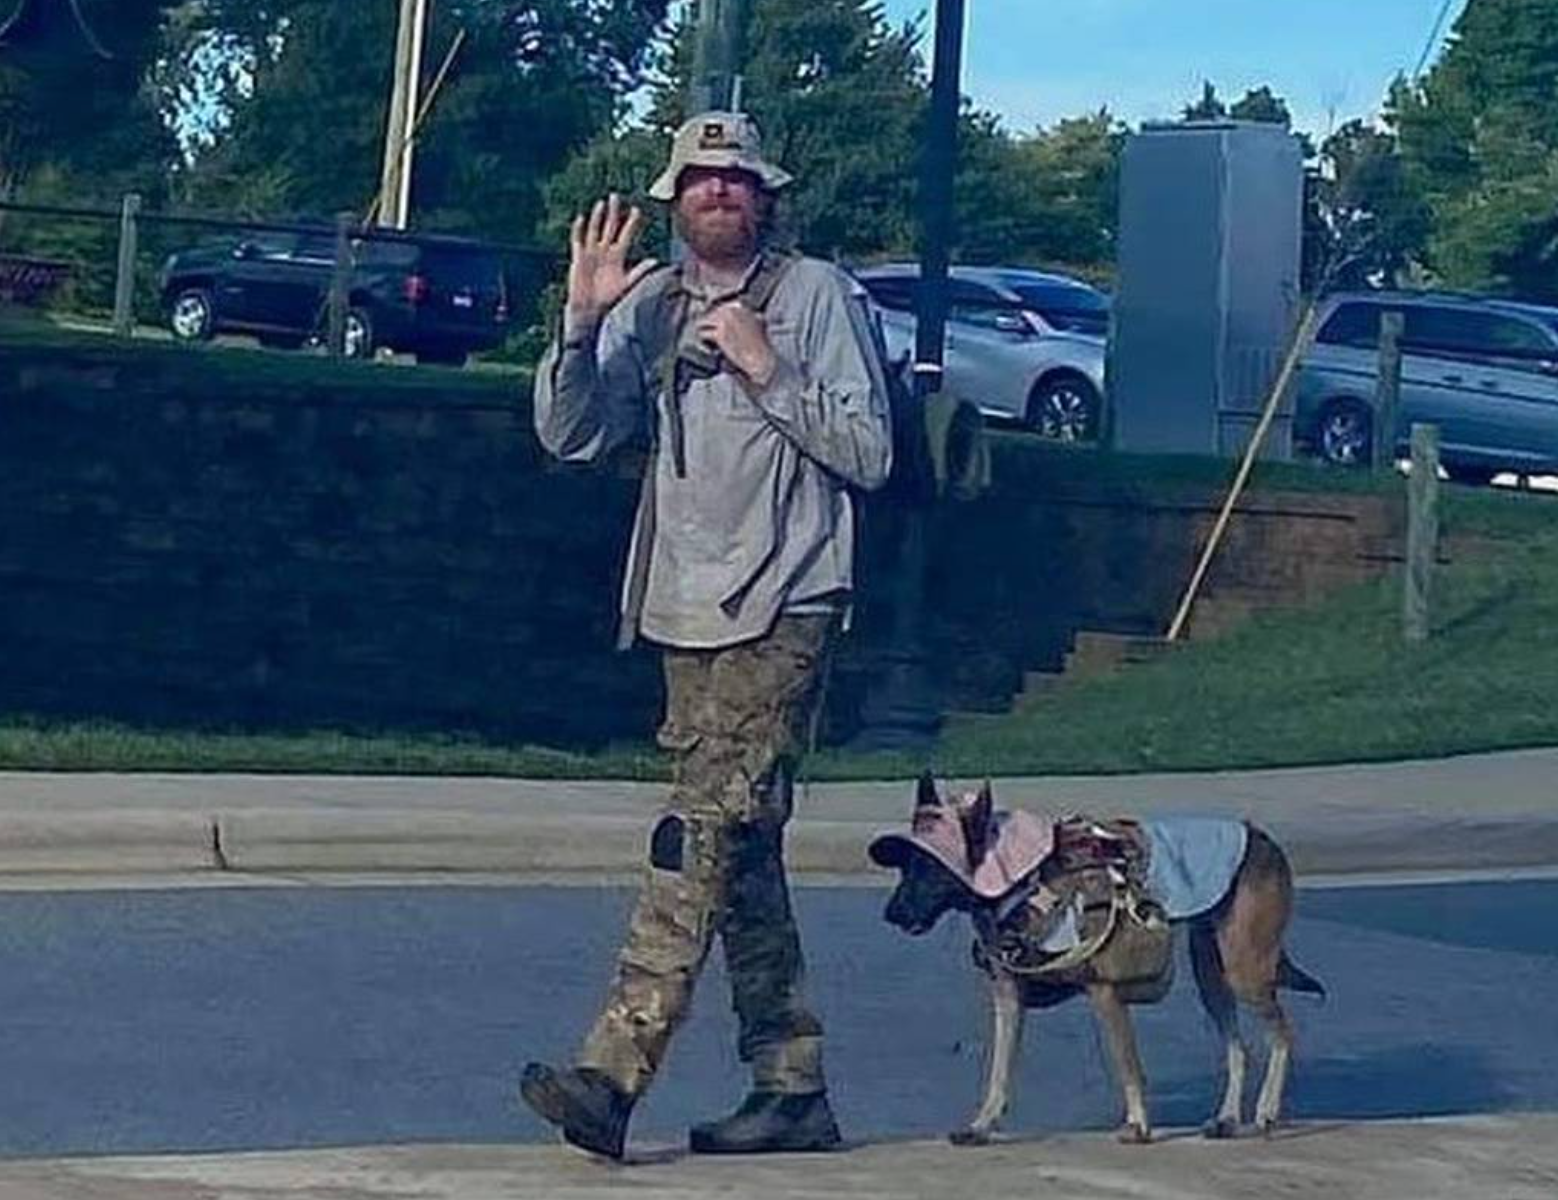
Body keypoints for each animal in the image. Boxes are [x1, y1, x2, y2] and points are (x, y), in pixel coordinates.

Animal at [872, 776, 1321, 1140]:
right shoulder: (1009, 999)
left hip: (1245, 969)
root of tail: (1259, 834)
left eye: (930, 866)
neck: (1026, 880)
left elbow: (1129, 1066)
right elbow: (998, 1071)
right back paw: (1227, 1119)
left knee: (1283, 1034)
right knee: (1238, 1047)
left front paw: (1138, 1124)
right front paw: (981, 1125)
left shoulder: (1105, 993)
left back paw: (1266, 1111)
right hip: (1212, 974)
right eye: (906, 866)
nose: (891, 914)